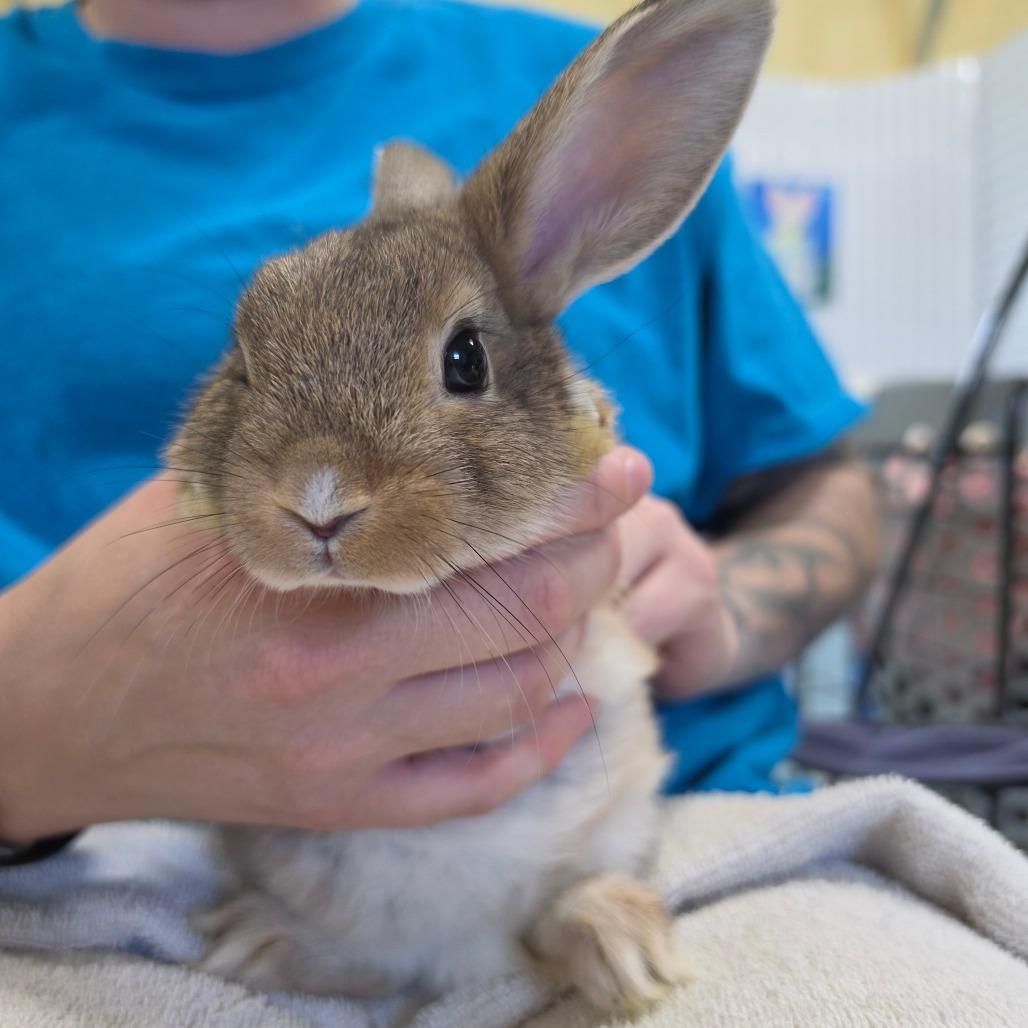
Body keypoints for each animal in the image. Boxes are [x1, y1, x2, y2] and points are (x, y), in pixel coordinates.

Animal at [169, 0, 774, 1014]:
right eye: (244, 358)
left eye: (466, 360)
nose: (317, 503)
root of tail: (465, 957)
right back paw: (256, 942)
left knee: (562, 901)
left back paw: (622, 952)